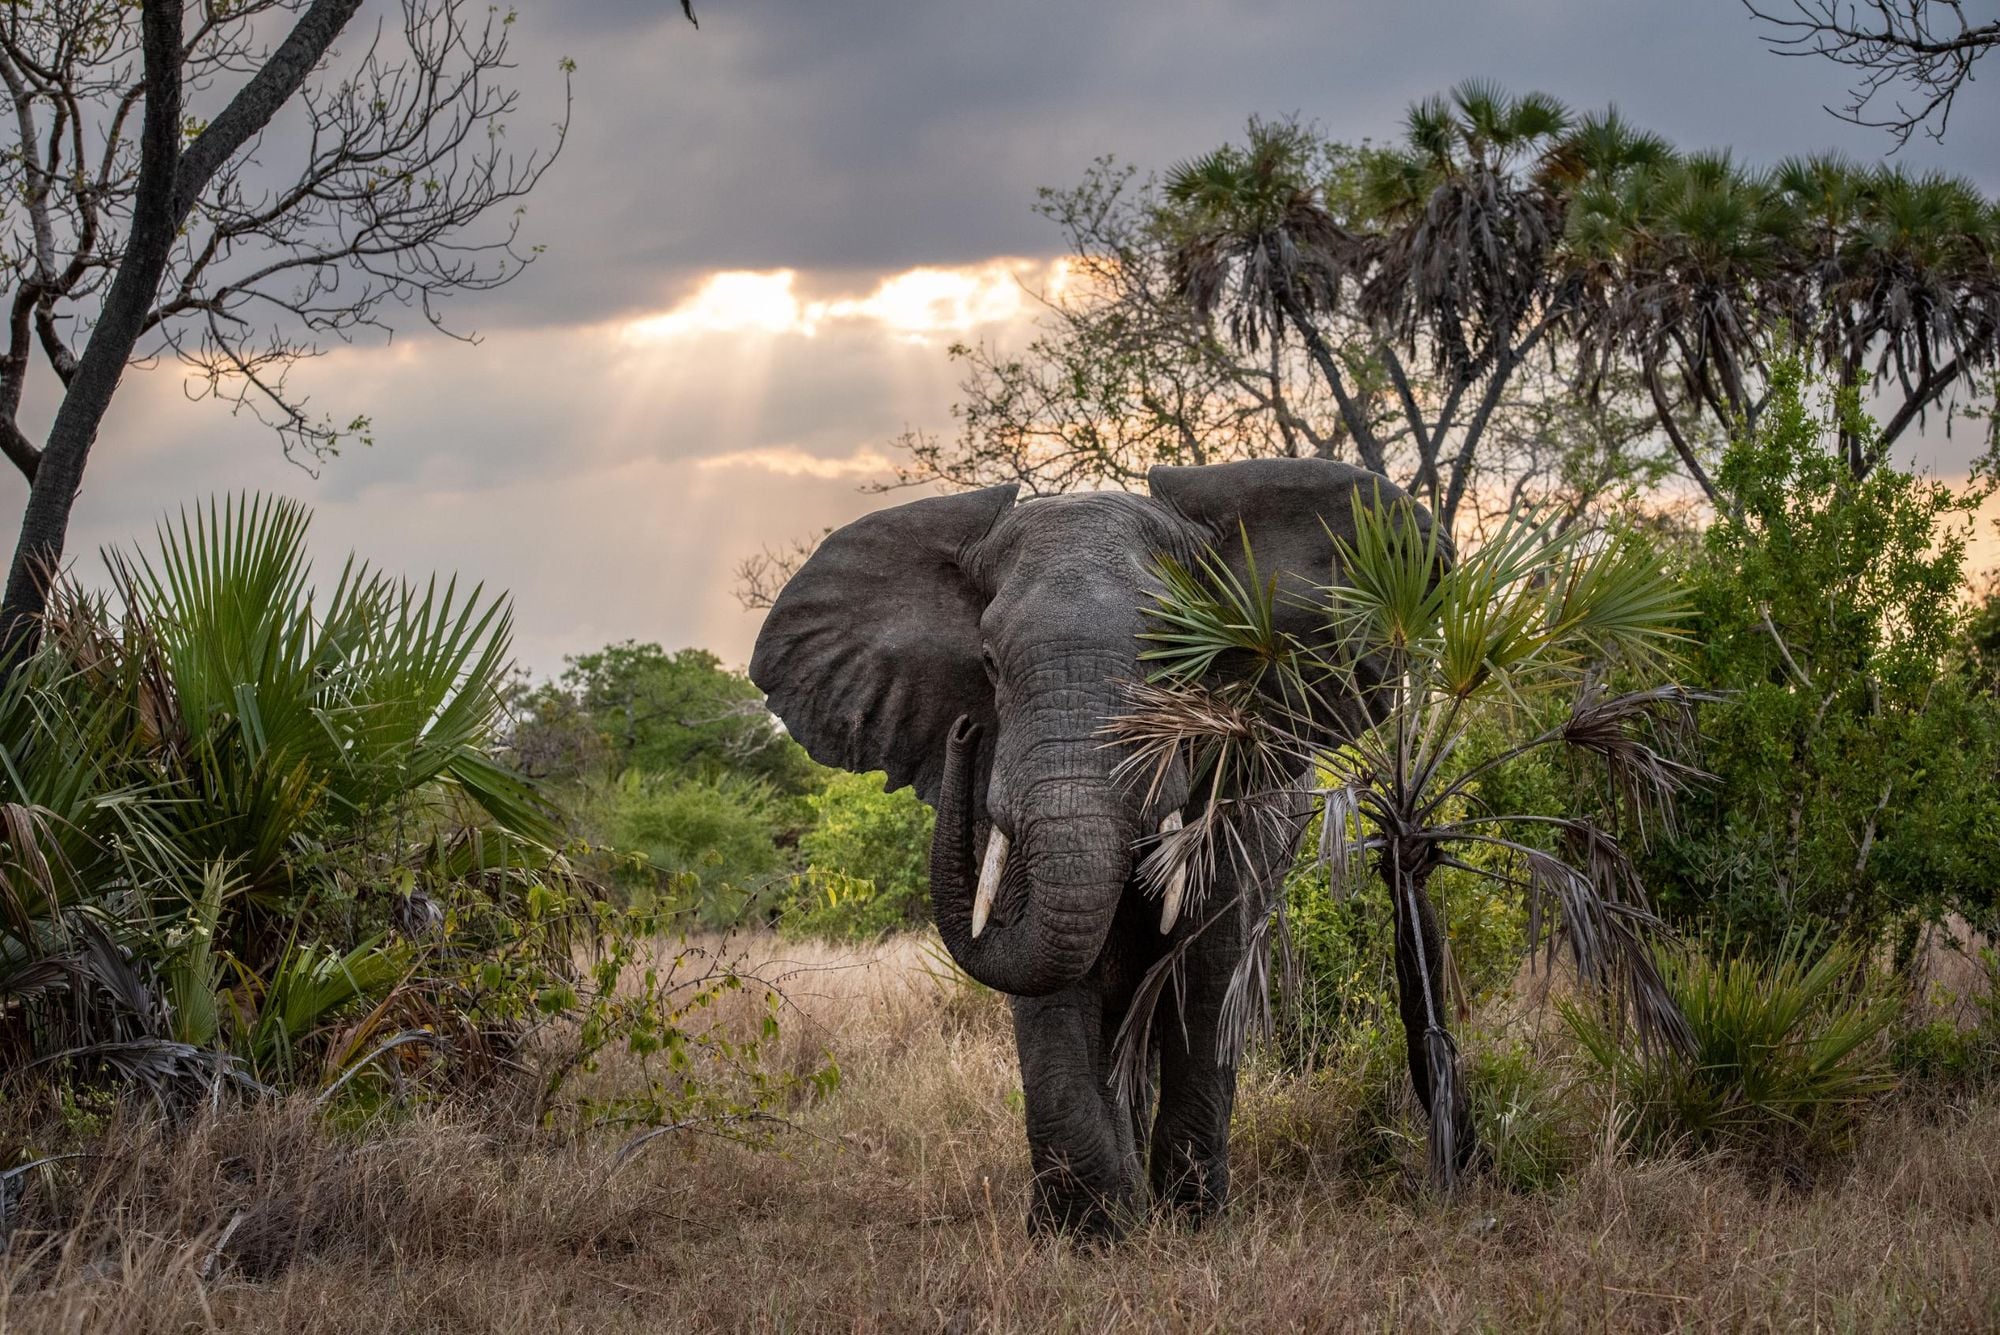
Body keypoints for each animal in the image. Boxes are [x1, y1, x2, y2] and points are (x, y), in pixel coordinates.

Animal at [749, 456, 1458, 1240]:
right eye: (988, 664)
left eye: (1177, 655)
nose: (965, 731)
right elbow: (1050, 977)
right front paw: (1086, 1233)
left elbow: (1208, 961)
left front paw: (1189, 1224)